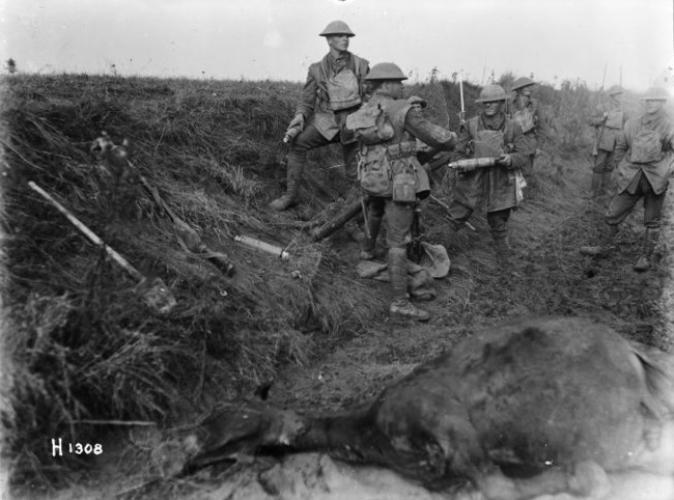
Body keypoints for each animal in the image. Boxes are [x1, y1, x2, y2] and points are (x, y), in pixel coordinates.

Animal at [180, 316, 672, 500]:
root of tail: (633, 353)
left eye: (236, 424)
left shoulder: (448, 425)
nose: (187, 450)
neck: (371, 435)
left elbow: (502, 489)